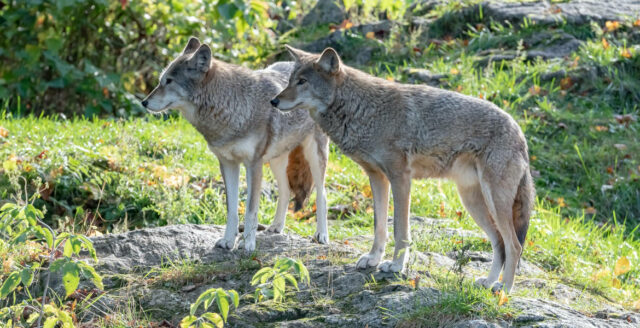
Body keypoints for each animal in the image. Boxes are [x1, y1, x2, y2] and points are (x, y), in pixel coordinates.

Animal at [141, 38, 330, 252]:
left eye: (169, 81)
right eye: (161, 80)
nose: (144, 102)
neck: (231, 108)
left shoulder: (253, 164)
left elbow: (250, 209)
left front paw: (247, 243)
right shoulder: (227, 163)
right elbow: (231, 208)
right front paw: (228, 241)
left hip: (314, 156)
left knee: (322, 194)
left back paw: (321, 235)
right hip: (276, 160)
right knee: (286, 190)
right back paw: (276, 227)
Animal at [270, 45, 536, 292]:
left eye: (303, 82)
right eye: (290, 80)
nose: (274, 101)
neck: (364, 110)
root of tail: (520, 133)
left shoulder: (400, 178)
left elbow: (400, 229)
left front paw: (396, 266)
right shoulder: (377, 178)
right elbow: (379, 226)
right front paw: (374, 259)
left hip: (493, 201)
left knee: (514, 245)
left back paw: (504, 290)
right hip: (473, 202)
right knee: (499, 242)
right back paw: (488, 282)